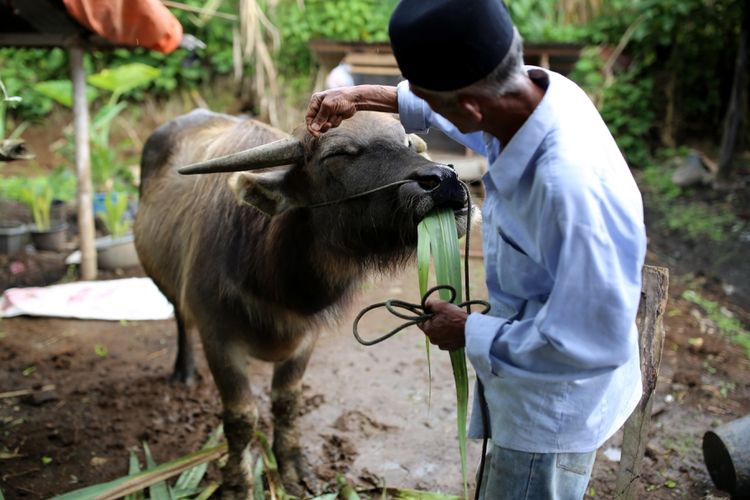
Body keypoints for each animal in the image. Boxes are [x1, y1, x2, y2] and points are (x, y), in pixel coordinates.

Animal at [132, 108, 468, 496]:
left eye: (408, 143)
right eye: (337, 154)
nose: (444, 180)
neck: (270, 274)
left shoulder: (306, 337)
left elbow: (288, 403)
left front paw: (291, 465)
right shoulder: (218, 336)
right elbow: (241, 416)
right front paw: (238, 483)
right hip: (164, 283)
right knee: (179, 319)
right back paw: (183, 372)